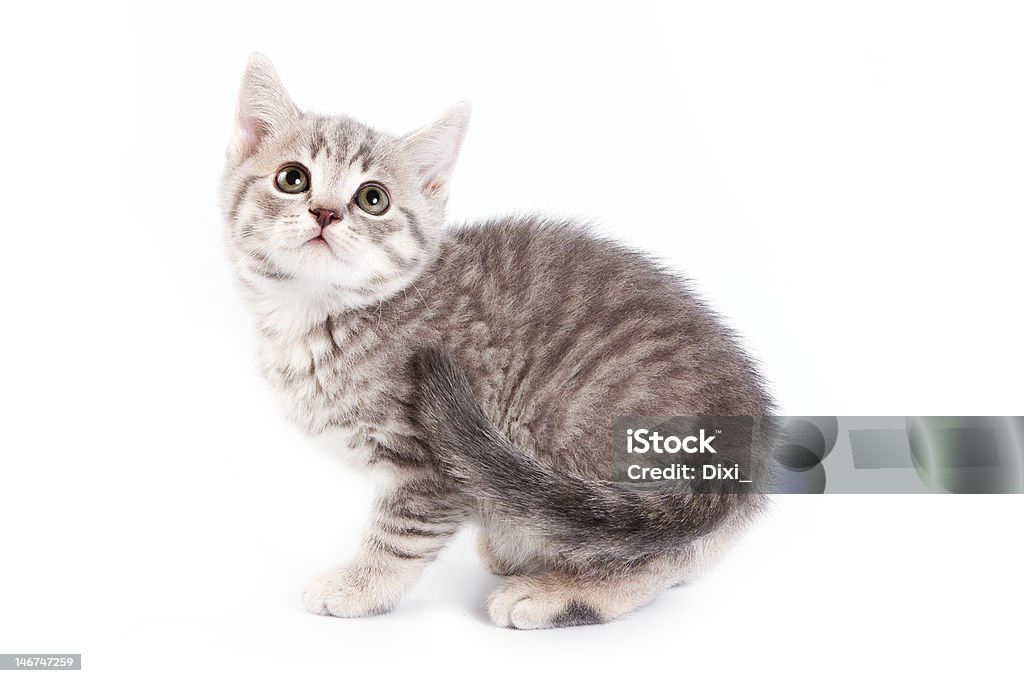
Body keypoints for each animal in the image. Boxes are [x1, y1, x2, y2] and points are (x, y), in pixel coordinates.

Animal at [218, 54, 774, 630]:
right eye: (293, 178)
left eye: (373, 199)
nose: (325, 212)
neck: (315, 317)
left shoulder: (432, 464)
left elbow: (401, 535)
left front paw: (362, 585)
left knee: (649, 551)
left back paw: (562, 592)